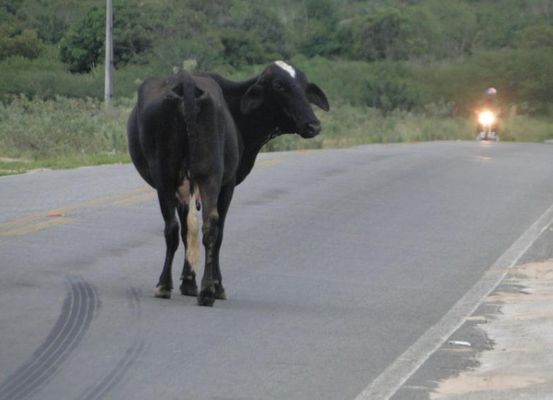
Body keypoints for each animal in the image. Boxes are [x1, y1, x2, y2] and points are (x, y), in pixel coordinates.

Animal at [128, 61, 328, 306]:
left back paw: (180, 287)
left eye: (304, 85)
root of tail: (186, 80)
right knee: (201, 228)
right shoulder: (227, 182)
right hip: (195, 177)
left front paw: (191, 282)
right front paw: (201, 283)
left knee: (186, 227)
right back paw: (197, 289)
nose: (313, 125)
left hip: (175, 176)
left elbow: (190, 230)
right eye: (279, 86)